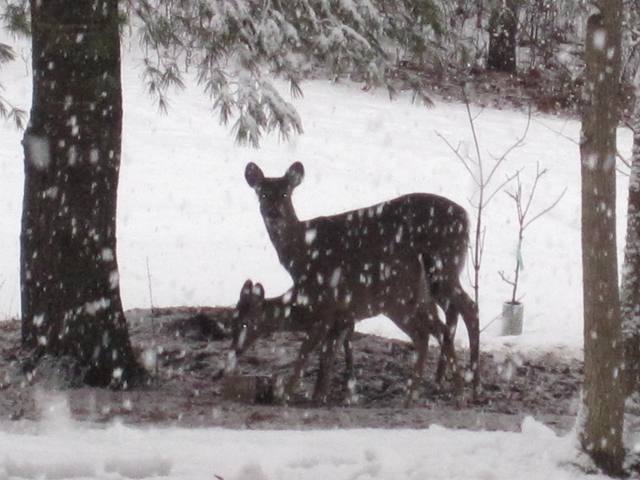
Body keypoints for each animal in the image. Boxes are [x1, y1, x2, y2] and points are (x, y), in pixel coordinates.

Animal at [245, 161, 480, 394]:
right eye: (262, 194)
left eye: (285, 194)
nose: (273, 212)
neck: (301, 247)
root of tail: (466, 217)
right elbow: (346, 334)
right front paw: (345, 384)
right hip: (437, 275)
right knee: (453, 310)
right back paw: (442, 378)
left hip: (443, 265)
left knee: (468, 306)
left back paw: (472, 381)